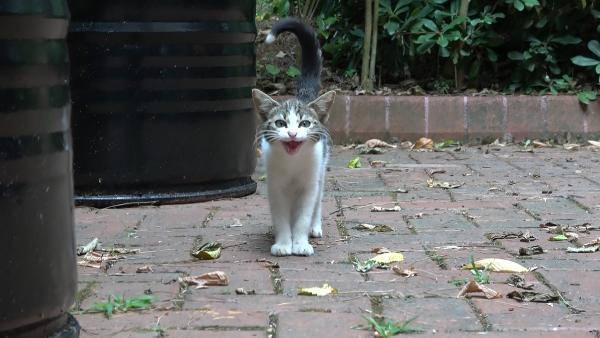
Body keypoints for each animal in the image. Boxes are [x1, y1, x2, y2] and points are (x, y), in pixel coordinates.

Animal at [253, 17, 338, 256]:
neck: (293, 163)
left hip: (321, 169)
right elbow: (281, 217)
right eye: (280, 123)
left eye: (304, 124)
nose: (292, 133)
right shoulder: (275, 186)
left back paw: (315, 227)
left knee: (318, 201)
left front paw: (300, 243)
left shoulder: (309, 184)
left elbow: (303, 216)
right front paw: (283, 243)